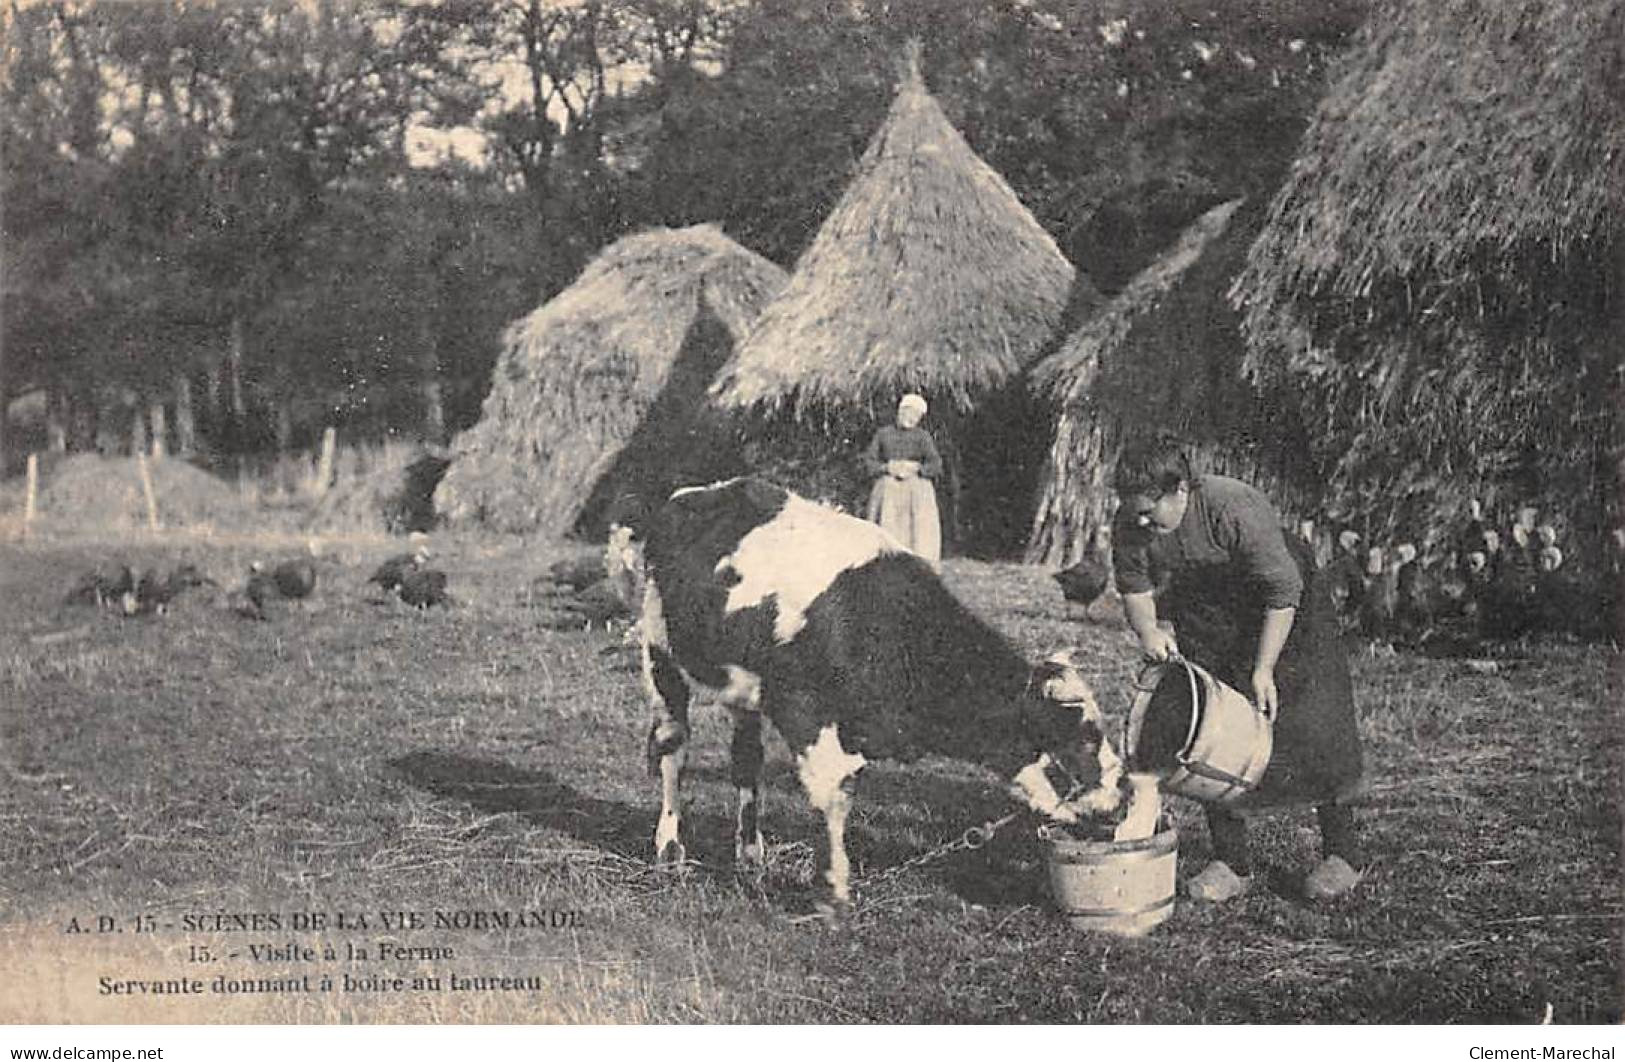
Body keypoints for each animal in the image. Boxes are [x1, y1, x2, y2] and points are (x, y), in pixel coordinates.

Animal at [637, 477, 1144, 909]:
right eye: (1081, 734)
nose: (1123, 795)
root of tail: (699, 492)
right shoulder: (802, 711)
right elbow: (832, 796)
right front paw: (834, 891)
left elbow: (842, 790)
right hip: (661, 655)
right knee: (673, 748)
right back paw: (669, 850)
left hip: (743, 688)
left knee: (746, 760)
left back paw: (749, 854)